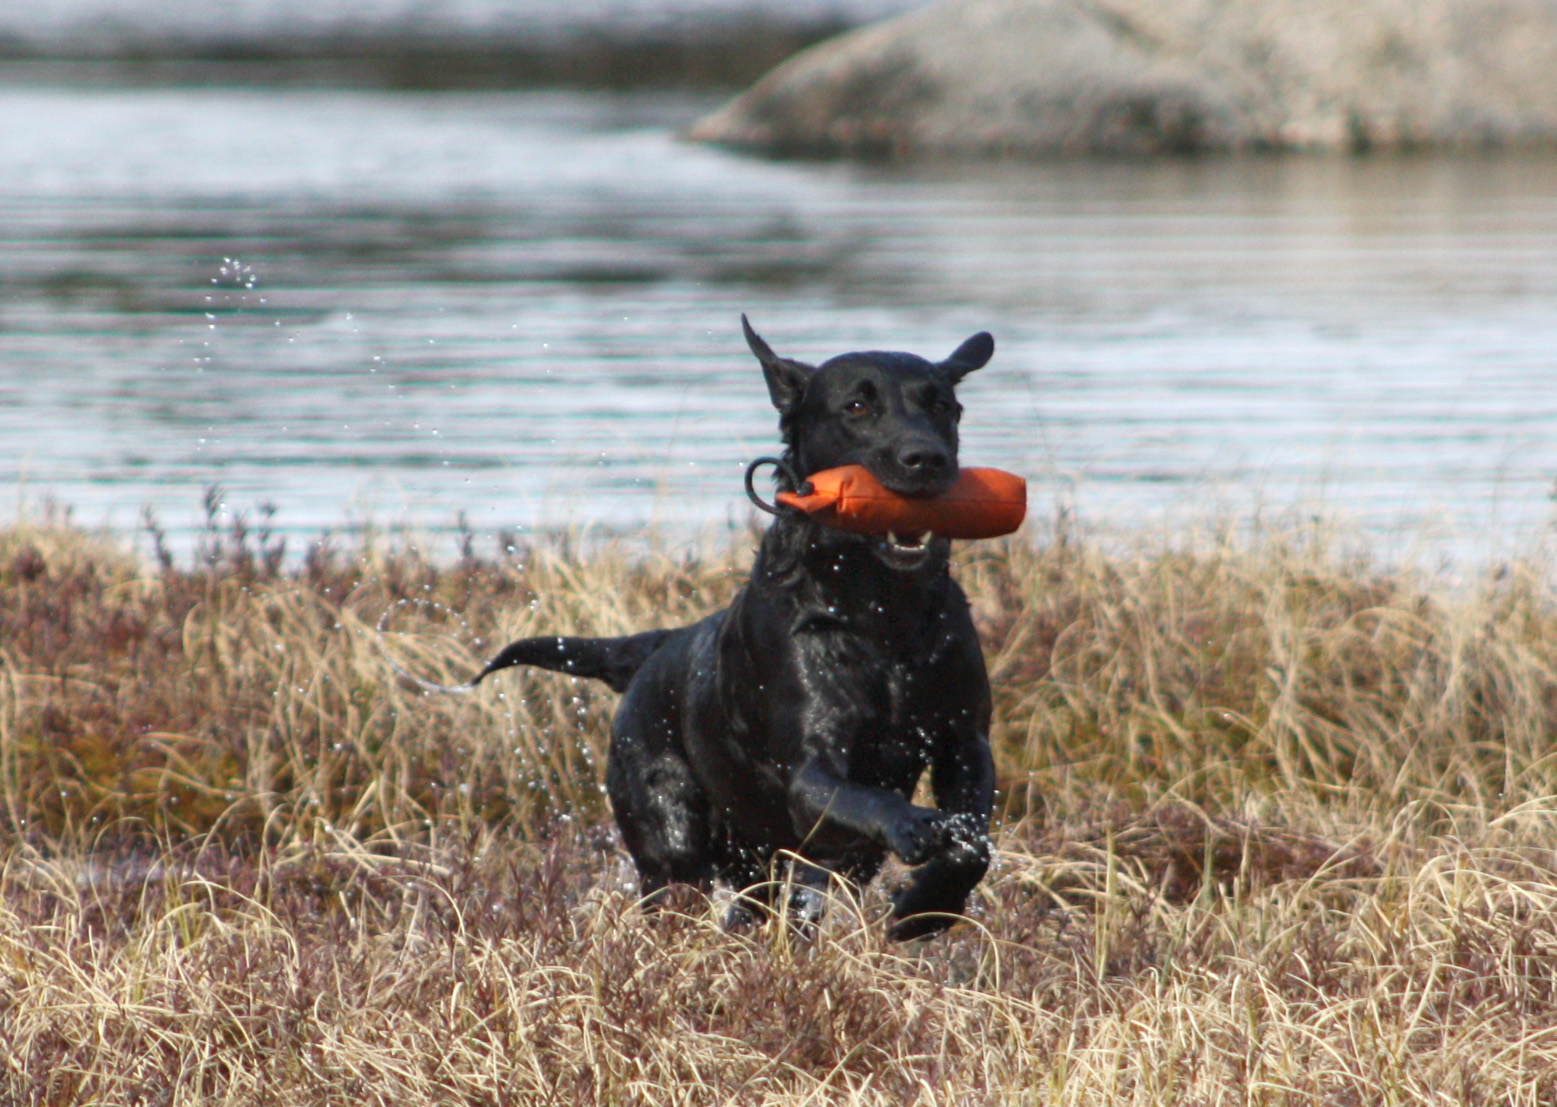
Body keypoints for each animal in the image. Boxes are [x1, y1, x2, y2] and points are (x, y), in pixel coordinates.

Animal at [473, 316, 996, 940]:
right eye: (858, 405)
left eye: (942, 405)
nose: (927, 458)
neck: (881, 613)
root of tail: (657, 645)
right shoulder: (809, 775)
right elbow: (875, 801)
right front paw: (915, 830)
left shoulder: (964, 740)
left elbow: (975, 842)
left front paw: (926, 906)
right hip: (673, 835)